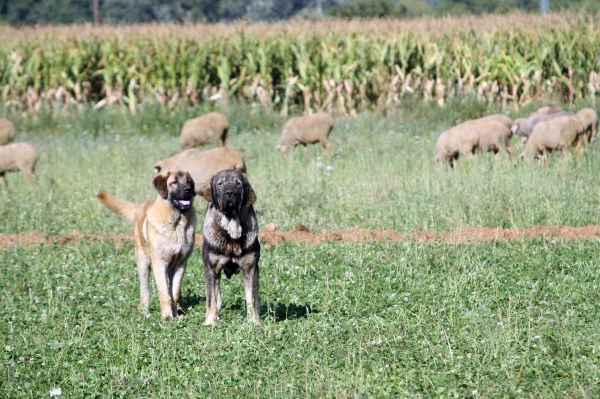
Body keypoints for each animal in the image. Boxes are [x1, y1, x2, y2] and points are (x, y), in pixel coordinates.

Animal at [97, 171, 197, 318]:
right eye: (174, 182)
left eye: (189, 181)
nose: (188, 190)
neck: (177, 223)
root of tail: (139, 207)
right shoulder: (159, 263)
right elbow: (164, 293)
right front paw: (167, 317)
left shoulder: (181, 264)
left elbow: (174, 293)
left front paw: (177, 314)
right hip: (143, 263)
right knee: (145, 289)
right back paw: (144, 310)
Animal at [203, 169, 258, 324]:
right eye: (220, 184)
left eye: (238, 184)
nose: (230, 193)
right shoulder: (211, 268)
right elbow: (211, 298)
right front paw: (210, 321)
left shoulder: (250, 268)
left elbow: (251, 297)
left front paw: (253, 321)